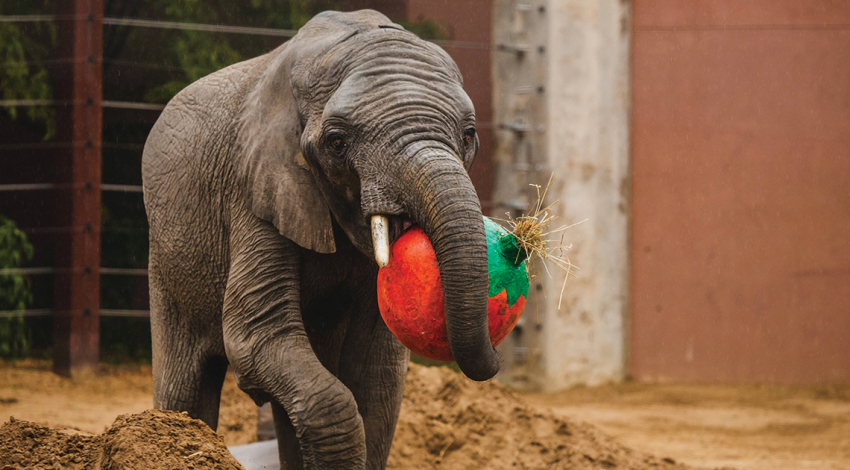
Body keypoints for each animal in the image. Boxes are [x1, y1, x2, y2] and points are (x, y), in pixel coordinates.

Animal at [139, 8, 496, 470]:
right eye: (337, 142)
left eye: (469, 136)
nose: (496, 360)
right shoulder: (255, 189)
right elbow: (257, 335)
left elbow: (376, 377)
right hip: (166, 257)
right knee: (186, 384)